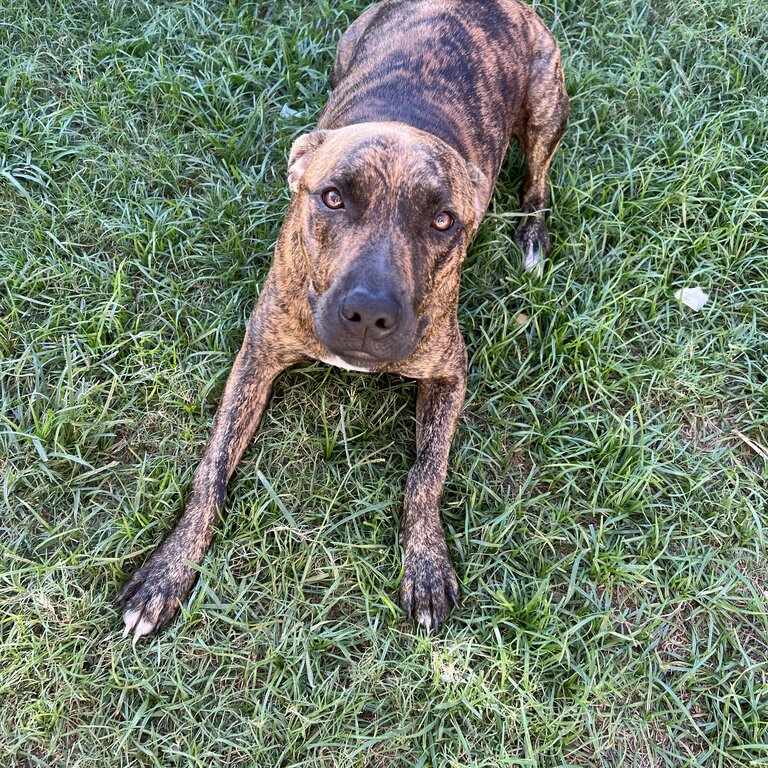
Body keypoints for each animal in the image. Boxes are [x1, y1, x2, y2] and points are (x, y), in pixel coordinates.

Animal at [118, 0, 564, 636]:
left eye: (443, 221)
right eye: (332, 198)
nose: (369, 314)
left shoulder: (449, 372)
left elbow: (425, 475)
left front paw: (426, 566)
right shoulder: (257, 356)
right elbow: (211, 472)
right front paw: (166, 573)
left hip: (547, 106)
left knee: (538, 178)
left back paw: (531, 233)